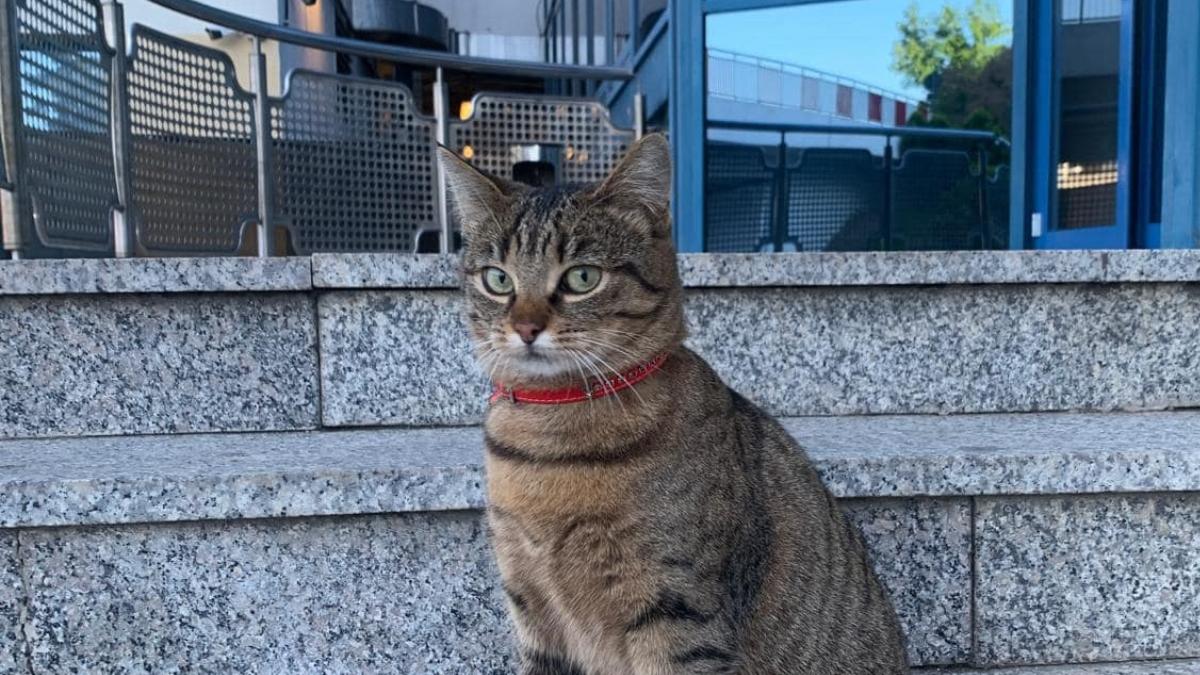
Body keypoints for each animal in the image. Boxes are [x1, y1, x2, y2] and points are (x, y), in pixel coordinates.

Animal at [441, 132, 907, 672]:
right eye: (497, 280)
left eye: (582, 278)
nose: (526, 328)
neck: (549, 442)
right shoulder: (531, 608)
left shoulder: (675, 608)